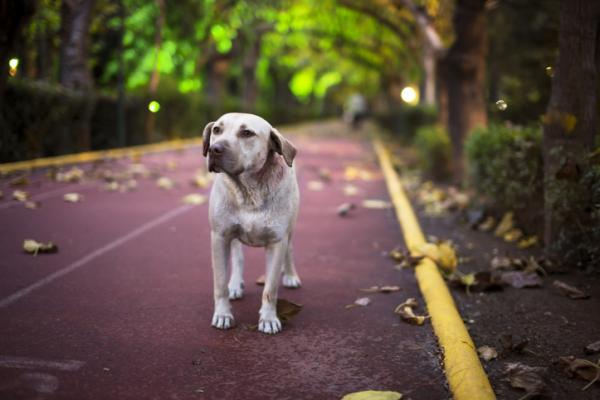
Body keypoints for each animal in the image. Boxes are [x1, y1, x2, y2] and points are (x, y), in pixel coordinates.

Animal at [204, 112, 302, 334]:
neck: (248, 192)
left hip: (291, 229)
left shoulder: (277, 242)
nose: (214, 149)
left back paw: (291, 275)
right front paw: (223, 314)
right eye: (217, 130)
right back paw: (235, 284)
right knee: (237, 257)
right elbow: (219, 283)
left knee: (291, 250)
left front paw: (268, 318)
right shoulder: (219, 237)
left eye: (247, 133)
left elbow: (270, 289)